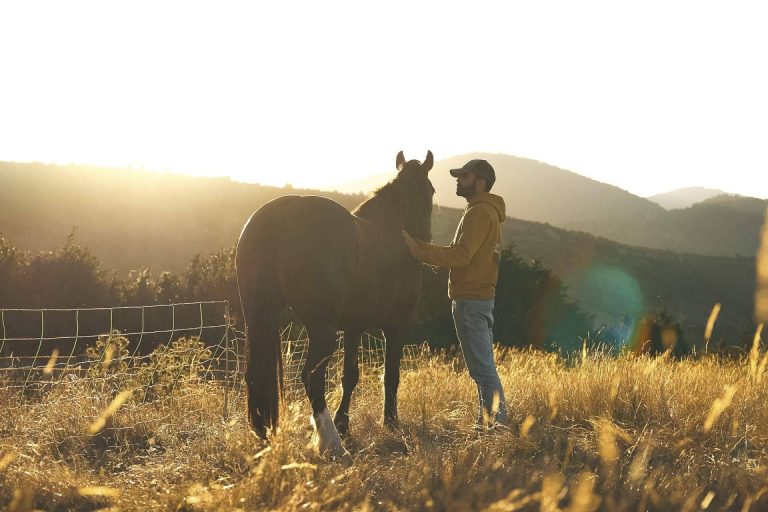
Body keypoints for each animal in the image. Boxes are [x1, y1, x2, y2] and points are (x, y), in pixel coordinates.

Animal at [237, 149, 436, 456]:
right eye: (432, 190)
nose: (425, 241)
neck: (392, 231)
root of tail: (279, 216)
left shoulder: (354, 327)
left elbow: (350, 376)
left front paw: (345, 423)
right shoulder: (397, 326)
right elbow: (391, 375)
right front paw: (390, 421)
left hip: (259, 317)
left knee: (256, 377)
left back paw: (266, 436)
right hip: (321, 328)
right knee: (312, 377)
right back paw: (331, 443)